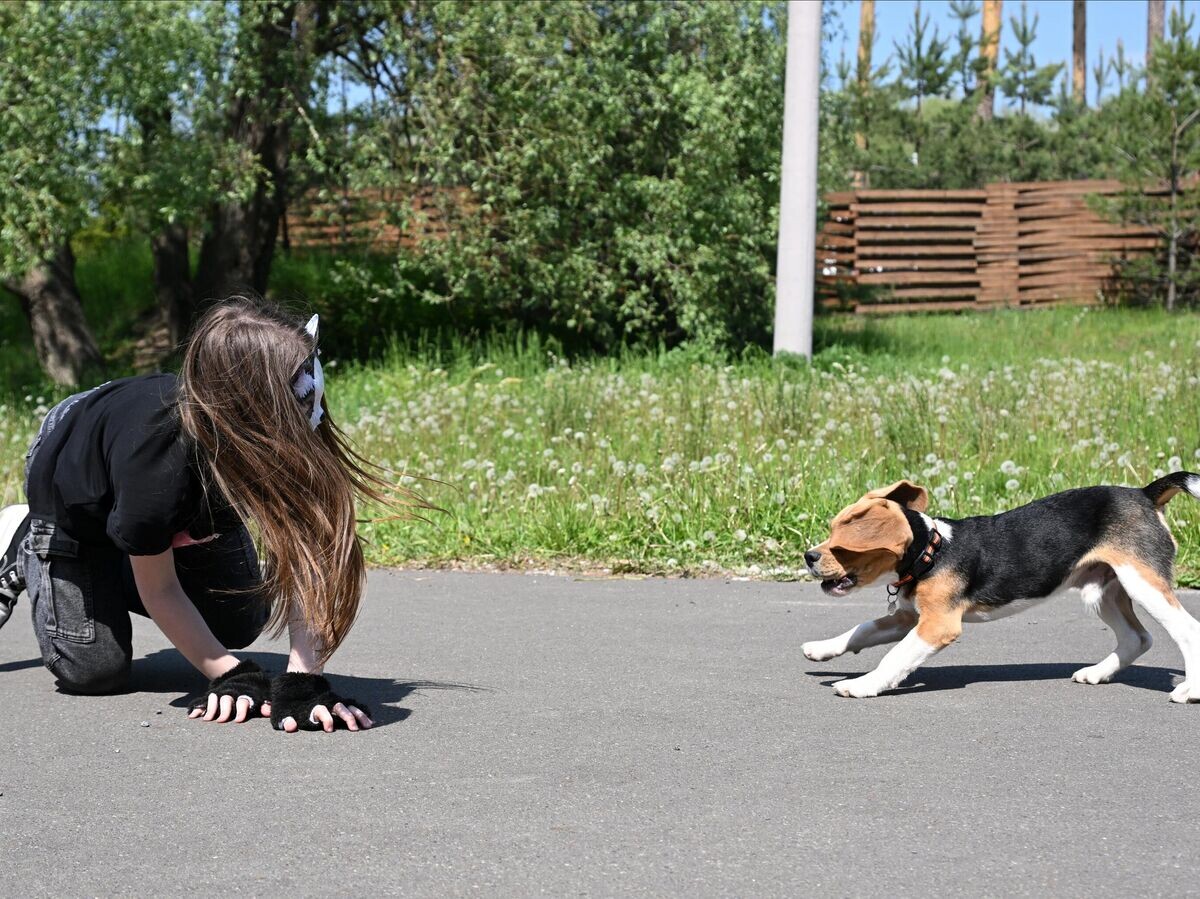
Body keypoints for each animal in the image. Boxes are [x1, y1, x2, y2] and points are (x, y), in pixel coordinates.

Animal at [801, 472, 1200, 696]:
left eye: (841, 545)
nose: (808, 556)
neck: (931, 551)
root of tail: (1144, 493)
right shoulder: (908, 617)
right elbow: (862, 630)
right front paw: (822, 649)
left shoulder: (937, 625)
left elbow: (894, 657)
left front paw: (862, 685)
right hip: (1101, 590)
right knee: (1137, 637)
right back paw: (1097, 673)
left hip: (1141, 582)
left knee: (1187, 630)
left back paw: (1189, 691)